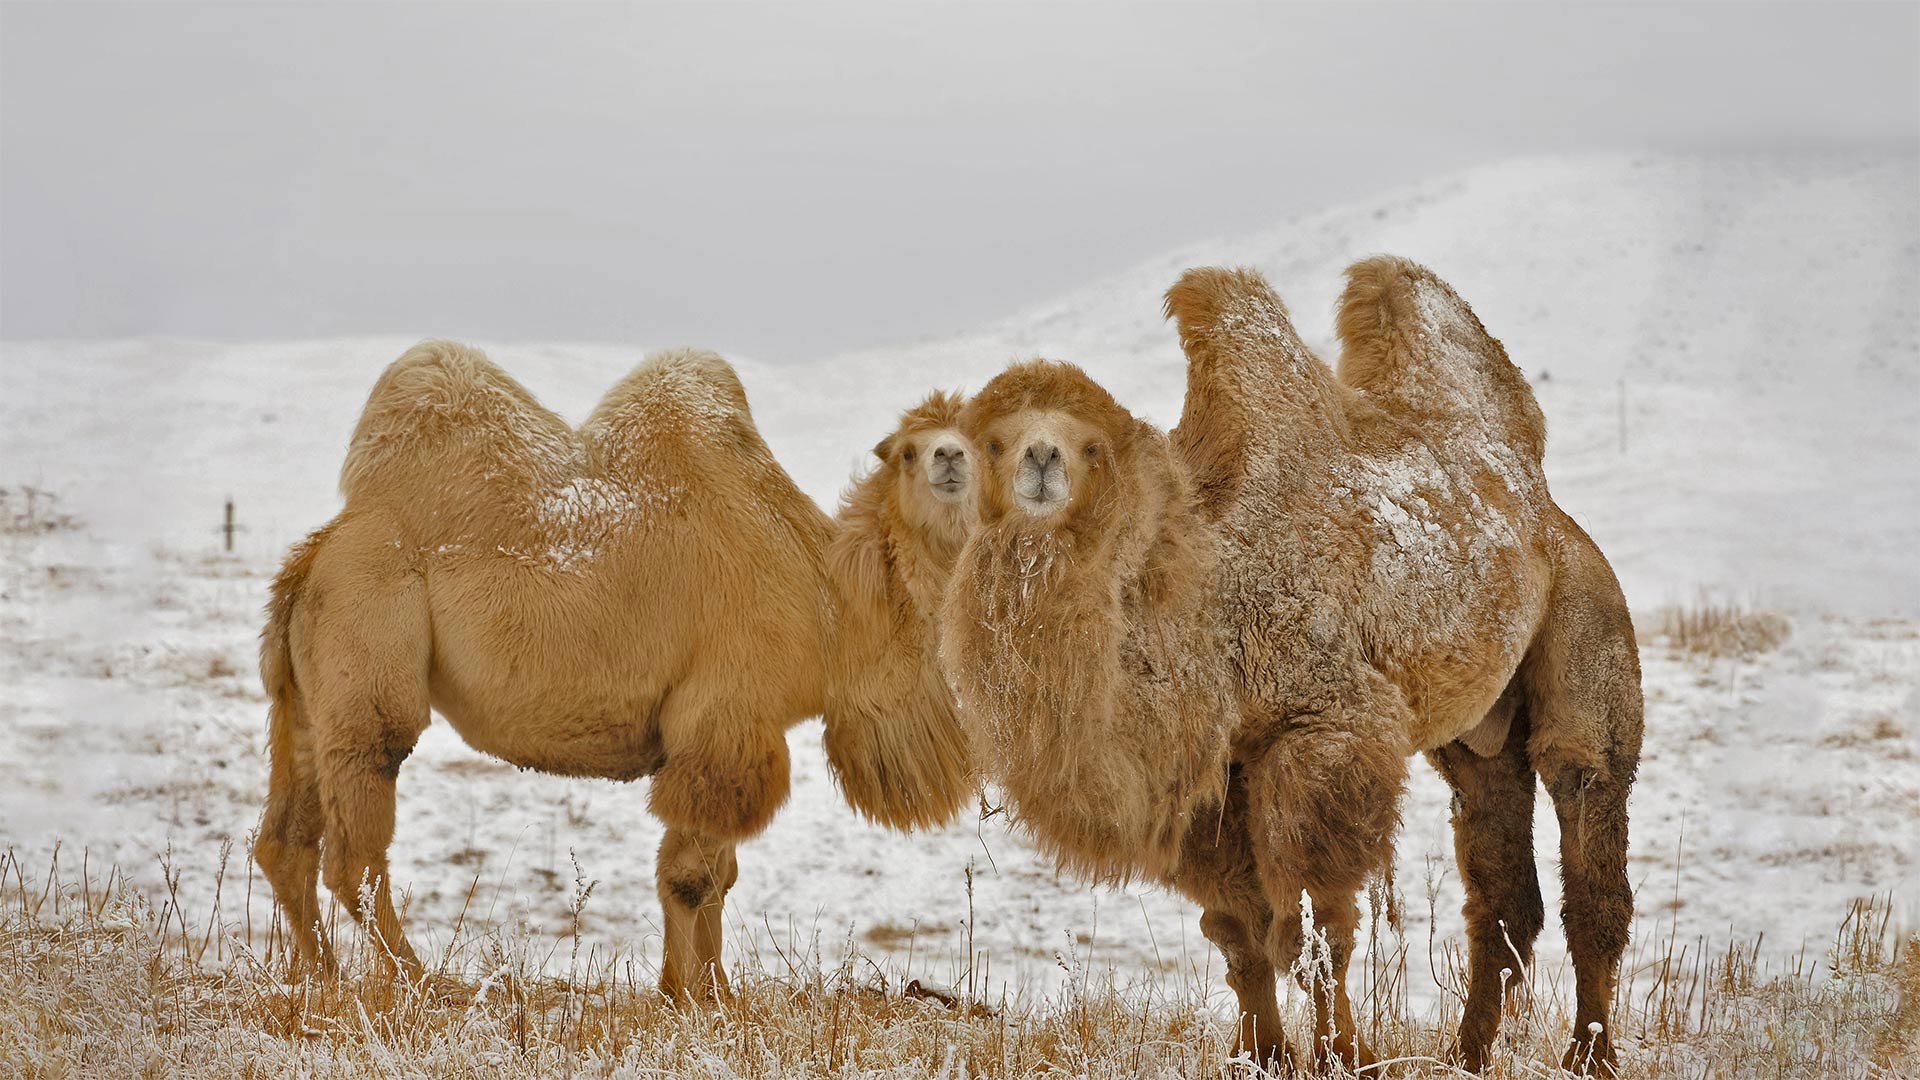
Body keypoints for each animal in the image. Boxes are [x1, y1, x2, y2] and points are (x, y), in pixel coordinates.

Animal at [253, 342, 967, 991]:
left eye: (980, 441)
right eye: (909, 450)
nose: (950, 457)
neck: (830, 605)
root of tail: (313, 555)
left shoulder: (732, 730)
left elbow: (718, 875)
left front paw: (703, 993)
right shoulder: (725, 718)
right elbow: (691, 877)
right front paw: (695, 999)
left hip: (308, 694)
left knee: (286, 843)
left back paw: (322, 981)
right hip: (370, 640)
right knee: (356, 845)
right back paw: (423, 983)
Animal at [936, 255, 1643, 1068]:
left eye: (1091, 447)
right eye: (992, 443)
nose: (1041, 461)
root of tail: (1547, 510)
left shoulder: (1322, 732)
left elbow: (1316, 929)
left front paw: (1347, 1058)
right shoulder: (1215, 773)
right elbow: (1238, 934)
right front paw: (1264, 1056)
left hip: (1588, 621)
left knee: (1587, 817)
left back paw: (1590, 1055)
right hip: (1479, 735)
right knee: (1501, 886)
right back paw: (1465, 1056)